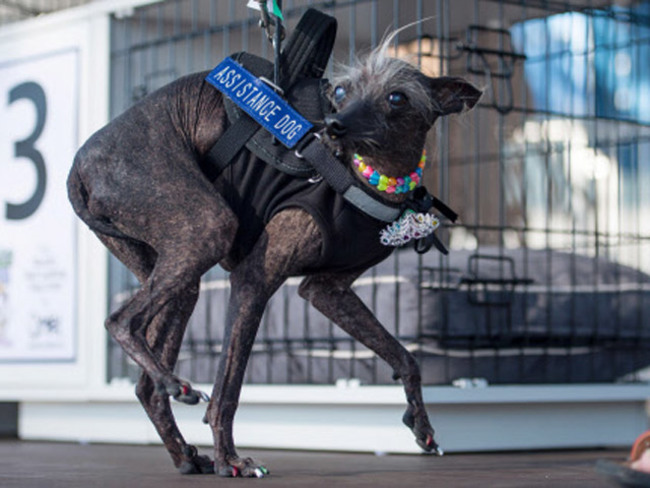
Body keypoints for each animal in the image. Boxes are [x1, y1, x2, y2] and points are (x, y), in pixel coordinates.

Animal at [68, 9, 478, 478]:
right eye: (341, 91)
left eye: (397, 98)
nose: (334, 127)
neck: (366, 177)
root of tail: (78, 166)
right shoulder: (253, 281)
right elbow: (227, 391)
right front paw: (231, 460)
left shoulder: (327, 291)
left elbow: (405, 357)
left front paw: (422, 425)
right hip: (207, 228)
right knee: (120, 321)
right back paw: (177, 390)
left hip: (179, 270)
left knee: (146, 385)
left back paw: (185, 449)